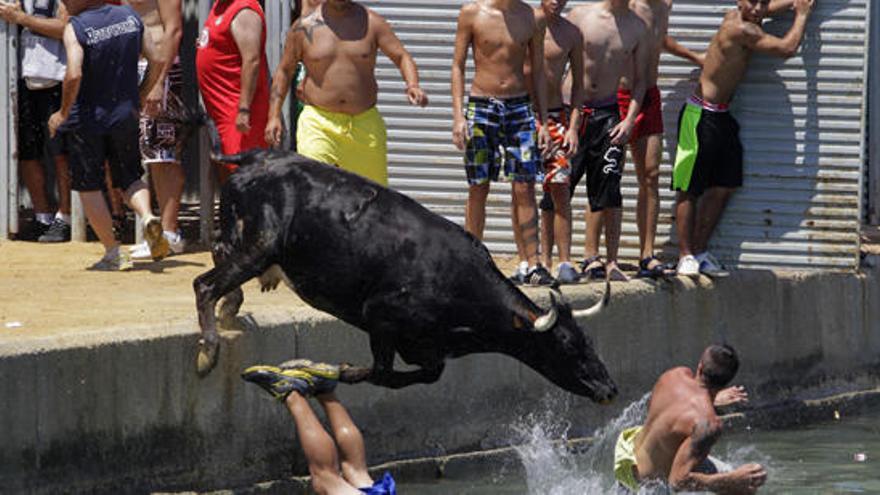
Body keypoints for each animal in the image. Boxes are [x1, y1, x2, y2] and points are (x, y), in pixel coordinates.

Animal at [194, 151, 620, 404]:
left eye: (589, 341)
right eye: (567, 346)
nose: (610, 389)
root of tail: (259, 157)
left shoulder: (428, 349)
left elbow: (421, 376)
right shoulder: (379, 317)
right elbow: (378, 373)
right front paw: (323, 369)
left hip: (243, 240)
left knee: (216, 263)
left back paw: (232, 309)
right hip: (259, 246)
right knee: (205, 284)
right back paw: (207, 352)